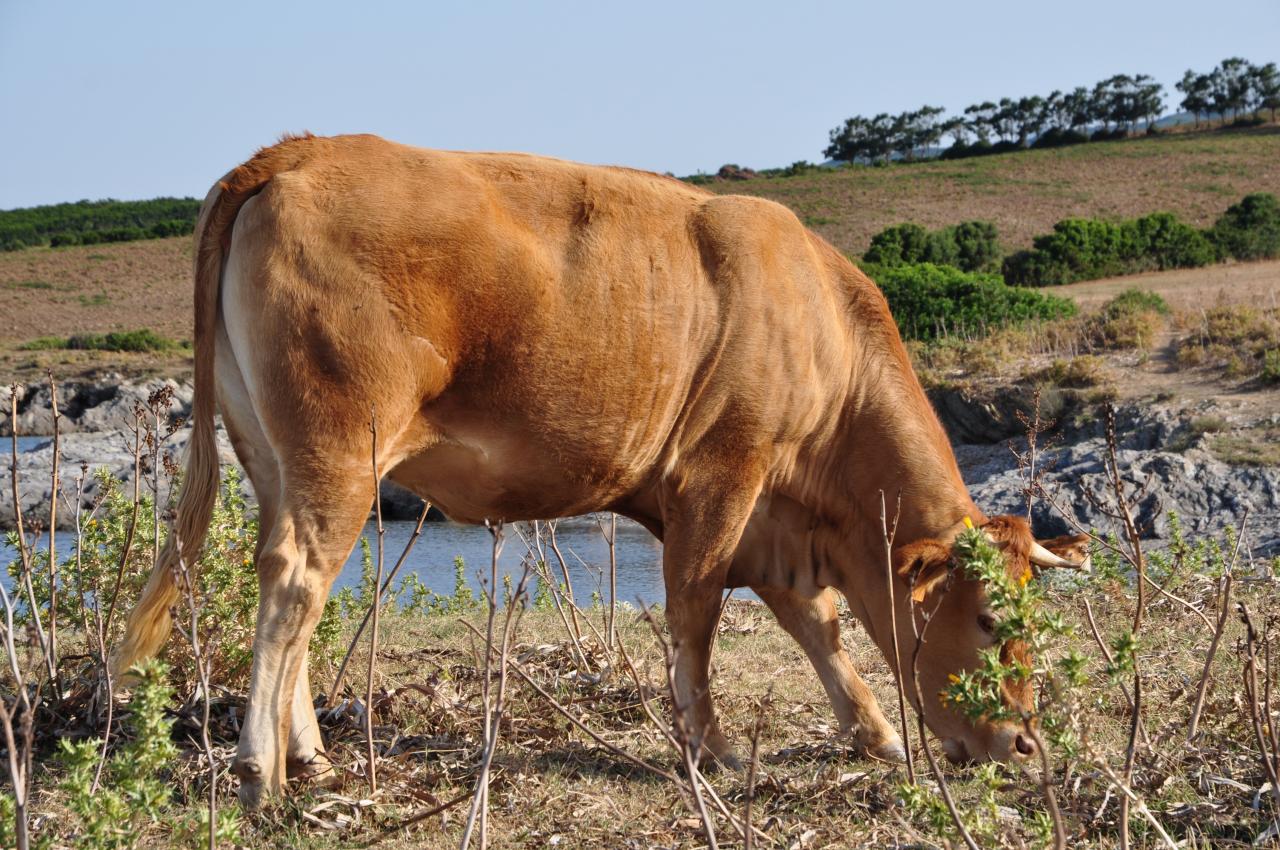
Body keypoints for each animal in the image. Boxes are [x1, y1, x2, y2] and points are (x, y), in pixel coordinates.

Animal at [112, 134, 1090, 809]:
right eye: (991, 618)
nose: (1024, 745)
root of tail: (299, 149)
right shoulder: (720, 477)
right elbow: (696, 614)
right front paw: (711, 746)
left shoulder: (773, 520)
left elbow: (816, 625)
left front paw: (873, 730)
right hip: (339, 448)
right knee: (295, 579)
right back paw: (261, 772)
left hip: (276, 457)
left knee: (292, 586)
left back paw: (308, 752)